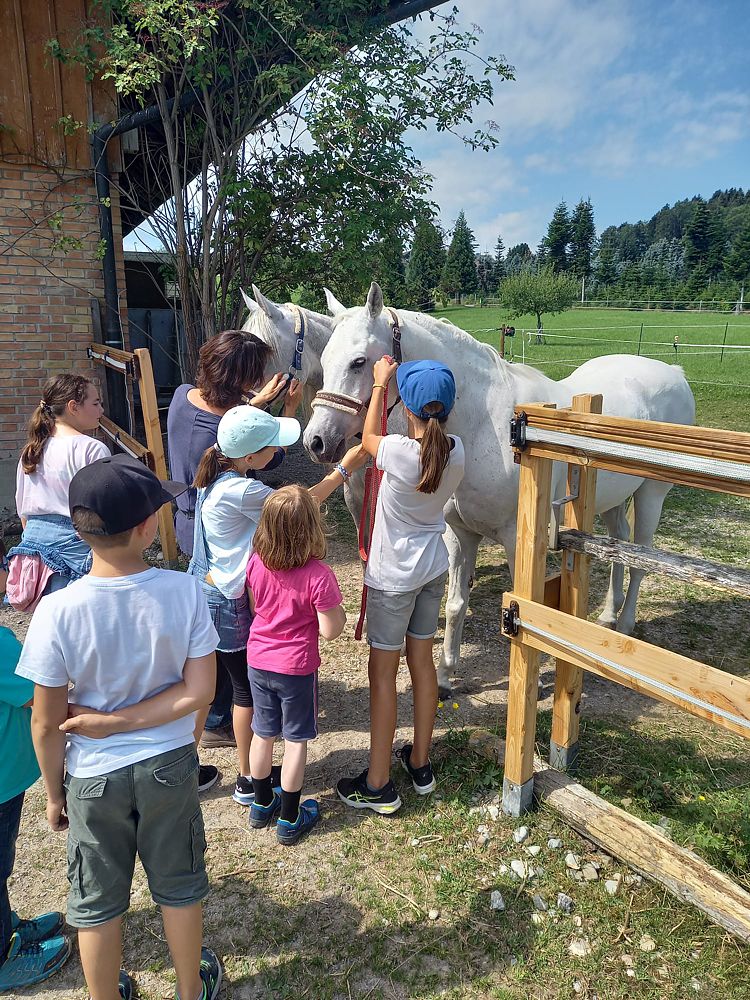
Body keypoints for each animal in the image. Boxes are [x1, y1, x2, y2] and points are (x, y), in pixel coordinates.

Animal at [302, 282, 700, 696]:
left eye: (359, 361)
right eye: (326, 359)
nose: (316, 441)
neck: (484, 424)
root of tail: (673, 372)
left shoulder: (515, 539)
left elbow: (529, 611)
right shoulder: (460, 534)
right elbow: (456, 604)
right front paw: (445, 675)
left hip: (651, 494)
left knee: (640, 558)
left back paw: (624, 625)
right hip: (611, 501)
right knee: (619, 544)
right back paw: (607, 616)